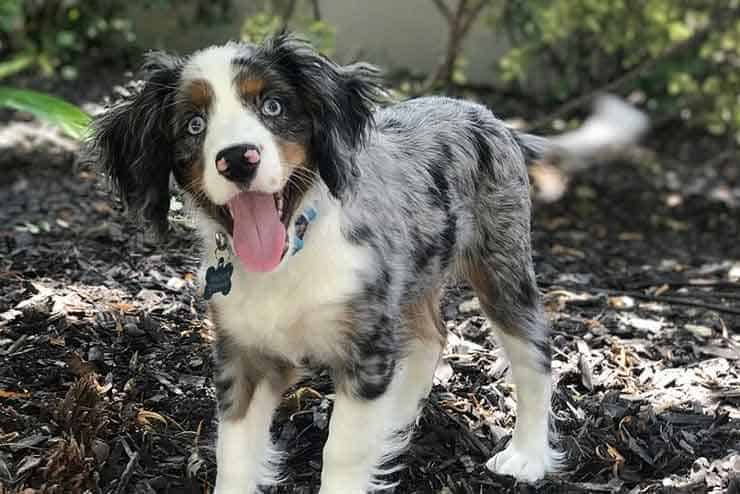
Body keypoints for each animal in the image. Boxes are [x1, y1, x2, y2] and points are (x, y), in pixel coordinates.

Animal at [86, 32, 648, 492]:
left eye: (273, 105)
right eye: (193, 125)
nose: (238, 158)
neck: (295, 248)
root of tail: (493, 120)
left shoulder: (364, 347)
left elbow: (343, 451)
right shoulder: (243, 354)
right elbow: (235, 453)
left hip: (501, 262)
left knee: (533, 354)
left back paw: (526, 456)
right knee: (431, 337)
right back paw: (395, 418)